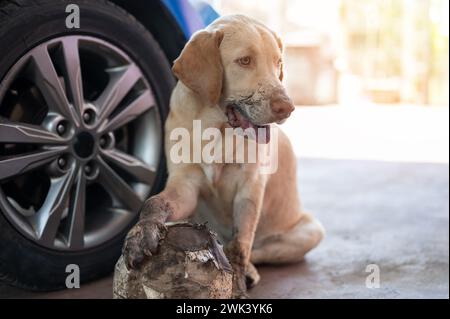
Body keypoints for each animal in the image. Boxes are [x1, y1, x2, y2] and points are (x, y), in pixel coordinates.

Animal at [123, 14, 324, 300]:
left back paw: (247, 270)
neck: (217, 127)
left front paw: (237, 282)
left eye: (278, 63)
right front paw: (141, 236)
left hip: (311, 231)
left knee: (252, 250)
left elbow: (239, 245)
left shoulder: (250, 186)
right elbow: (153, 202)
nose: (287, 108)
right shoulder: (185, 185)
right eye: (245, 61)